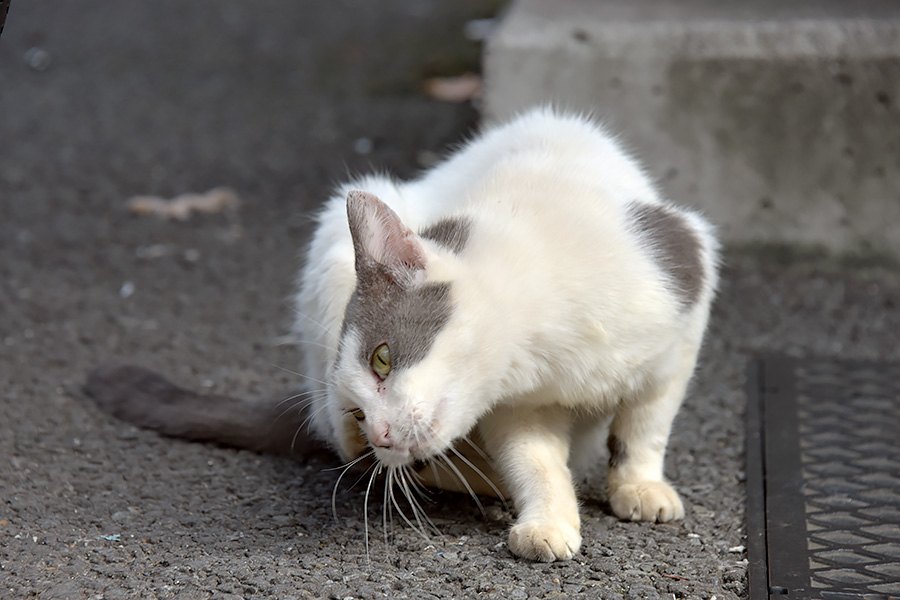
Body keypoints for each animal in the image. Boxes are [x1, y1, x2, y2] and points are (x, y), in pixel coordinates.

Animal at [294, 108, 716, 564]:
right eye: (358, 412)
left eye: (382, 359)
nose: (379, 436)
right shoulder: (518, 406)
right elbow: (533, 460)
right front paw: (547, 522)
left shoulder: (686, 282)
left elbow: (646, 423)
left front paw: (639, 484)